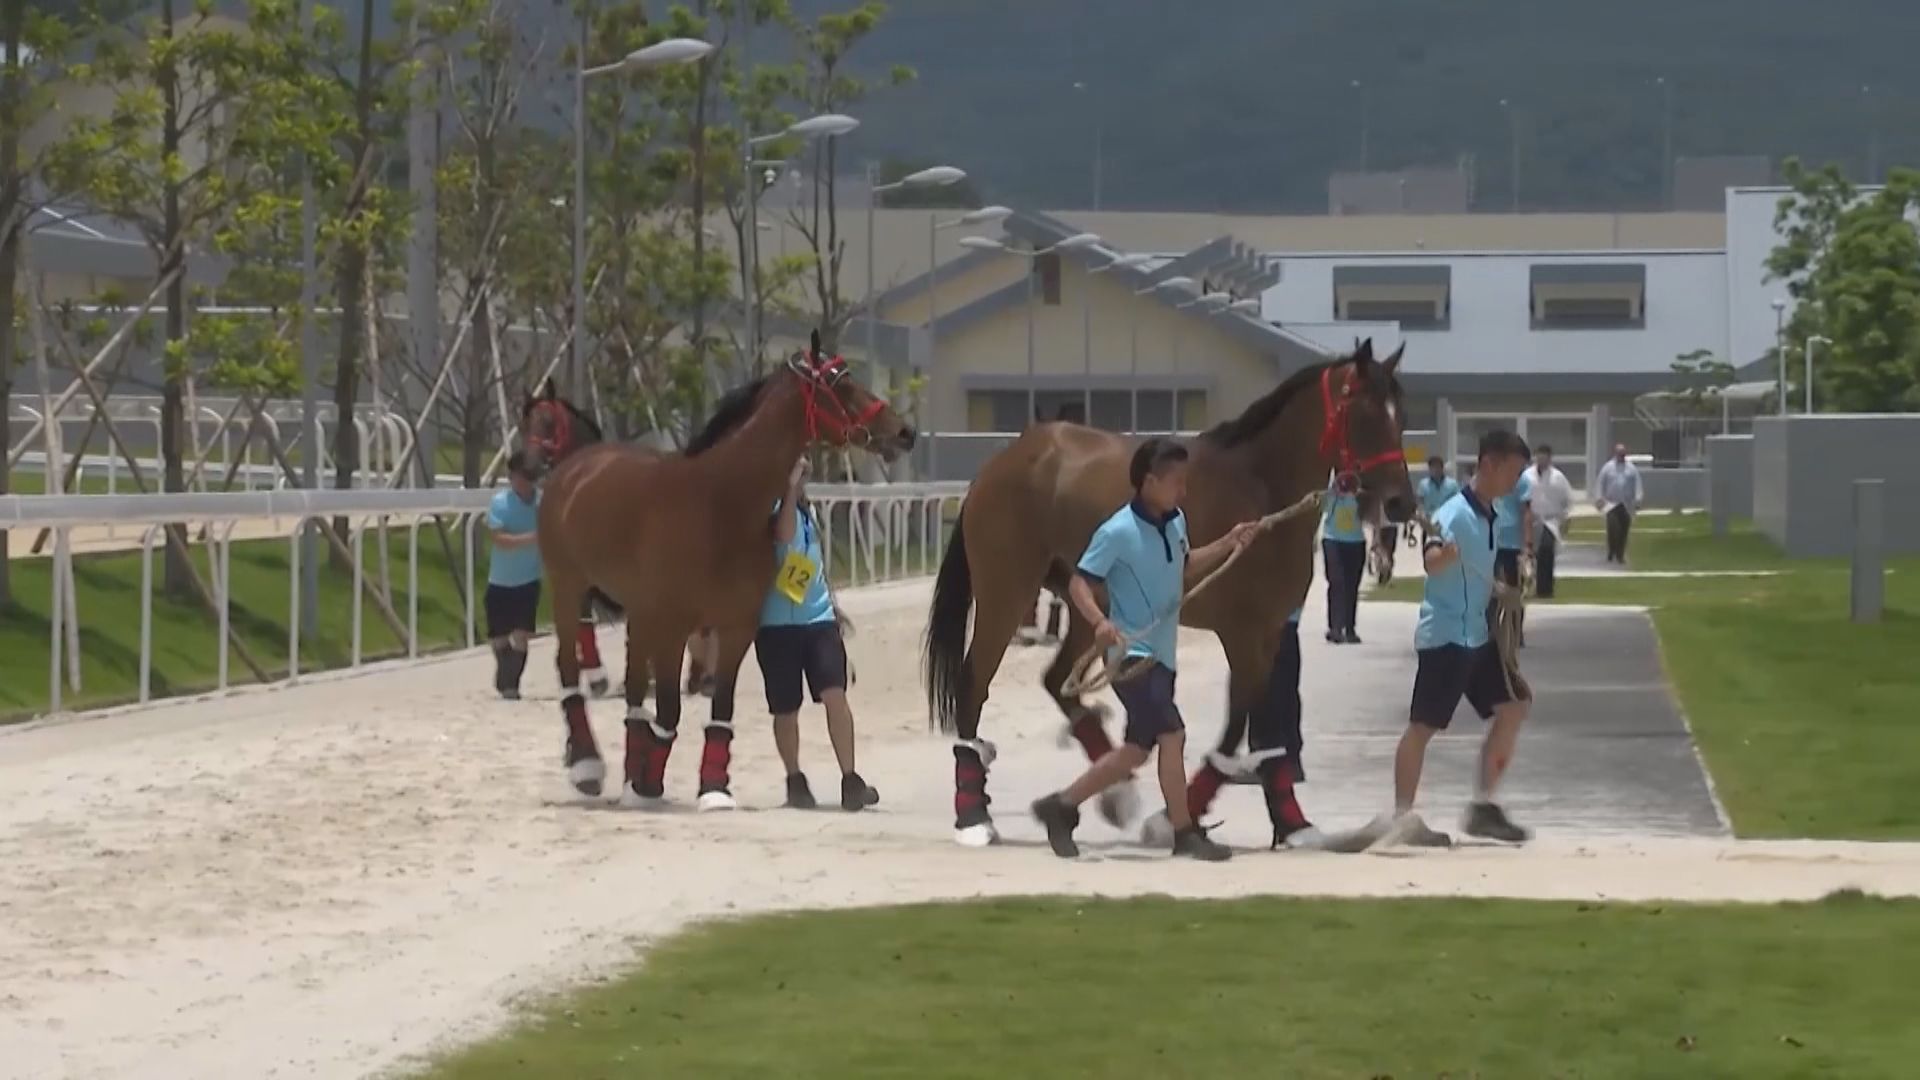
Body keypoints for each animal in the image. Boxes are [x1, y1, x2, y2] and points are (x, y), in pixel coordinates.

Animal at [536, 336, 916, 806]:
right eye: (839, 384)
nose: (904, 432)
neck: (720, 503)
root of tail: (573, 469)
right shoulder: (674, 628)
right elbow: (669, 710)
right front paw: (649, 783)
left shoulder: (735, 628)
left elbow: (721, 708)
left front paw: (712, 787)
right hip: (570, 589)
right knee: (570, 671)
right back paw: (589, 765)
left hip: (639, 614)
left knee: (633, 693)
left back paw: (626, 773)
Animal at [922, 340, 1414, 847]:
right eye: (1365, 413)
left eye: (1401, 414)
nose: (1402, 503)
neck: (1259, 486)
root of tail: (1001, 463)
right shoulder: (1241, 633)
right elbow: (1237, 727)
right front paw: (1178, 816)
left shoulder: (1272, 632)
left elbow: (1264, 728)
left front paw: (1290, 821)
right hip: (1006, 595)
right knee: (974, 687)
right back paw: (975, 816)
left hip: (1090, 609)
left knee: (1058, 681)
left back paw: (1115, 790)